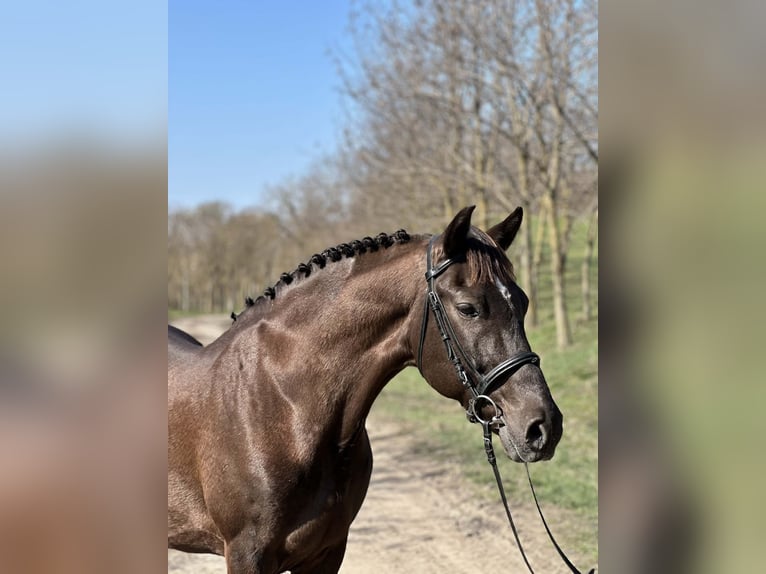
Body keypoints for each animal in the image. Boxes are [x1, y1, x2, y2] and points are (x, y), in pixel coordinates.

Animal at [168, 206, 563, 574]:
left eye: (523, 302)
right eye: (468, 309)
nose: (544, 427)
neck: (284, 404)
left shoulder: (327, 551)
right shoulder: (246, 555)